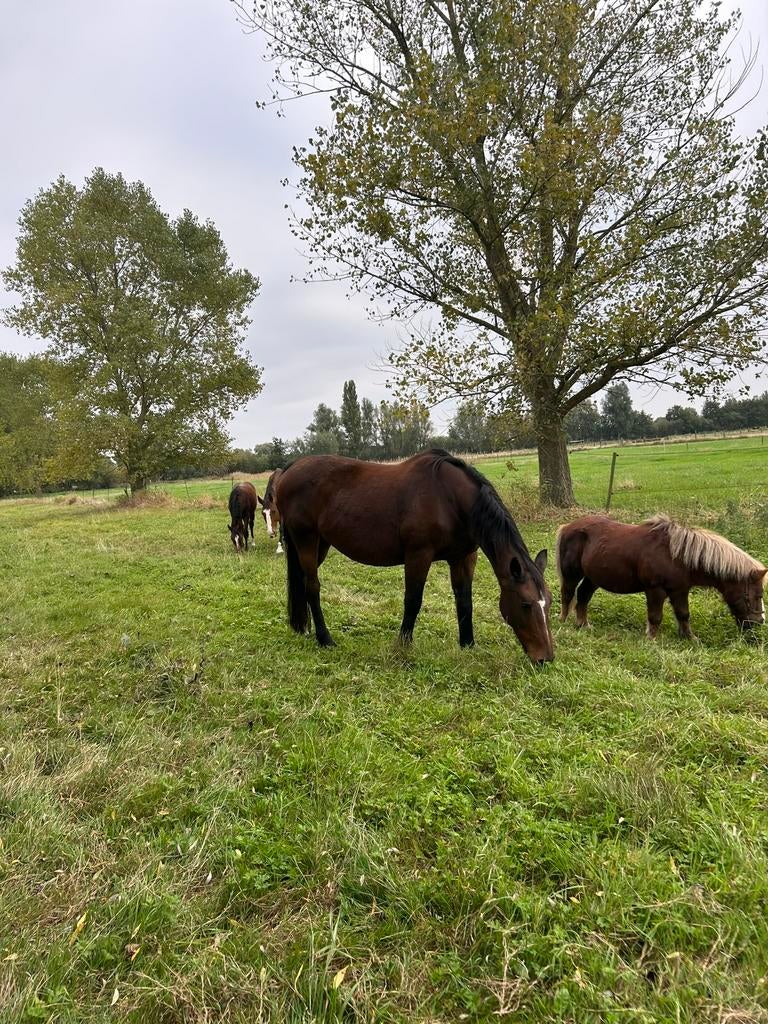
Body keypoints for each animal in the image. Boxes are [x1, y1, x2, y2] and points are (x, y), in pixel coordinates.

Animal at [276, 449, 554, 663]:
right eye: (525, 604)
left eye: (549, 603)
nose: (546, 658)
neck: (451, 499)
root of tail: (291, 468)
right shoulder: (418, 555)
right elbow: (413, 600)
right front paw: (403, 644)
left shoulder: (463, 558)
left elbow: (464, 601)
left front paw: (467, 644)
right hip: (306, 540)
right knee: (312, 587)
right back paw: (325, 639)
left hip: (320, 544)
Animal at [556, 513, 766, 640]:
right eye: (757, 596)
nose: (759, 623)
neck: (677, 556)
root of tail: (567, 527)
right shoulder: (655, 590)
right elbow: (655, 616)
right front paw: (652, 639)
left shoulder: (680, 591)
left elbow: (683, 614)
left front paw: (690, 638)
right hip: (571, 574)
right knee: (568, 594)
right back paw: (564, 622)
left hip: (593, 578)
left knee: (583, 596)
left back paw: (583, 625)